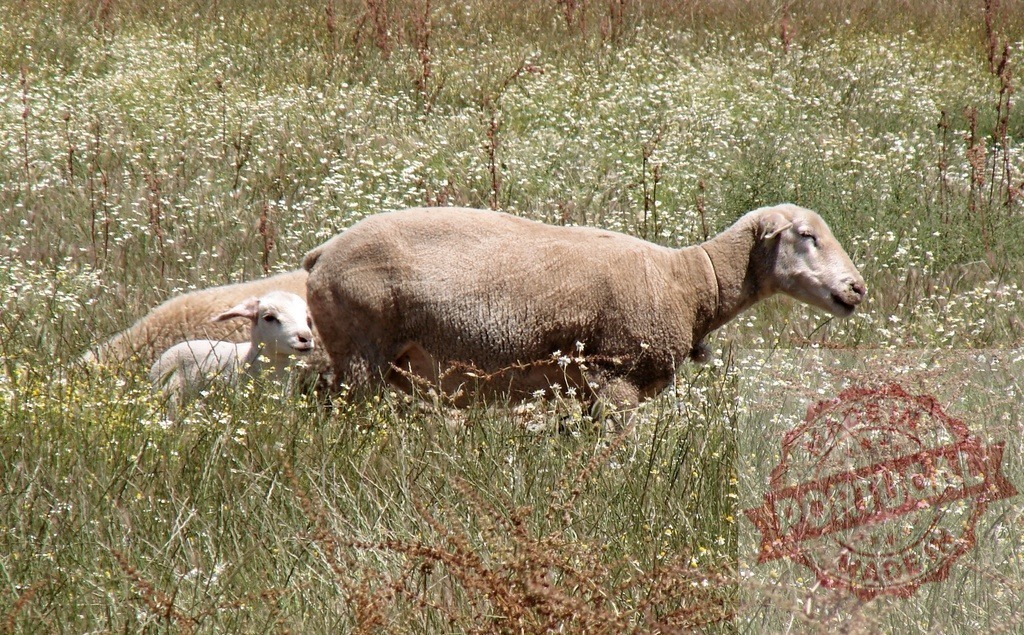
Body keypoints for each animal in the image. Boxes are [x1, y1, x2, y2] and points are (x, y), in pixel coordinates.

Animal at [302, 204, 866, 417]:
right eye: (808, 236)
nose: (858, 289)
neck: (689, 281)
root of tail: (321, 253)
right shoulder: (617, 376)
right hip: (363, 354)